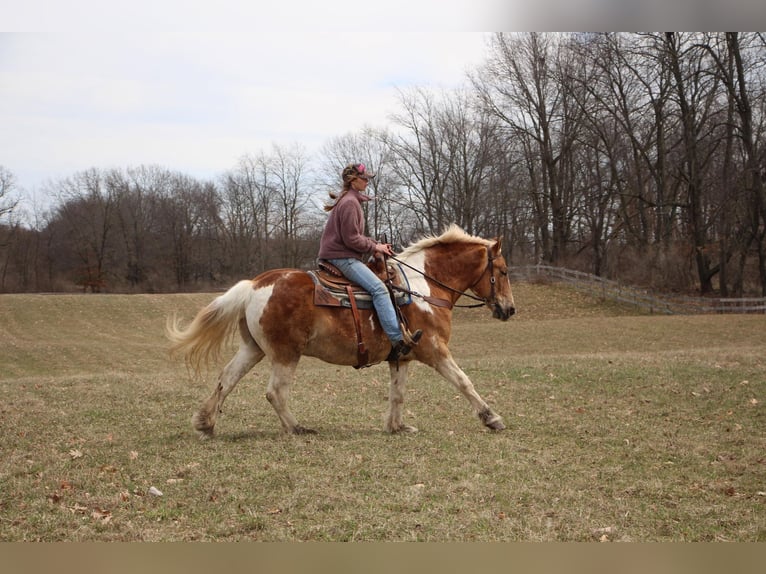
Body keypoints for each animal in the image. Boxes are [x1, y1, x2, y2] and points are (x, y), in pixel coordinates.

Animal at [167, 225, 516, 436]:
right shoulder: (435, 349)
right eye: (503, 271)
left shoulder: (401, 357)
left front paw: (397, 426)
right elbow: (464, 382)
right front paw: (492, 418)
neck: (423, 288)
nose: (510, 309)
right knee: (275, 392)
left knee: (226, 379)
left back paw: (206, 423)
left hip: (253, 349)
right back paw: (297, 428)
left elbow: (398, 393)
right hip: (285, 354)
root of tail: (255, 285)